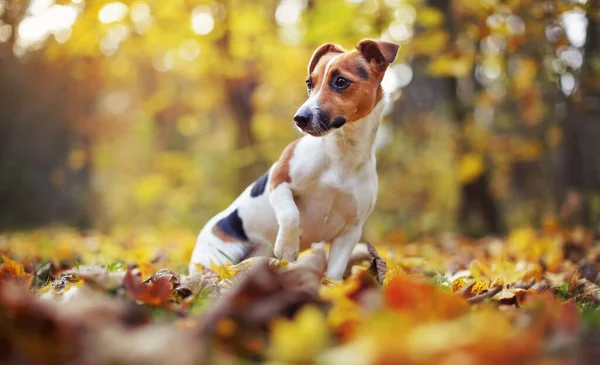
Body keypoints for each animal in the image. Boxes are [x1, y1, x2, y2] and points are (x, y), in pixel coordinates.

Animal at [190, 39, 400, 278]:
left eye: (340, 81)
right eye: (309, 83)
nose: (300, 118)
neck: (342, 153)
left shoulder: (350, 232)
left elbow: (334, 273)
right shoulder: (278, 182)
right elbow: (291, 215)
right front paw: (287, 247)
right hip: (215, 258)